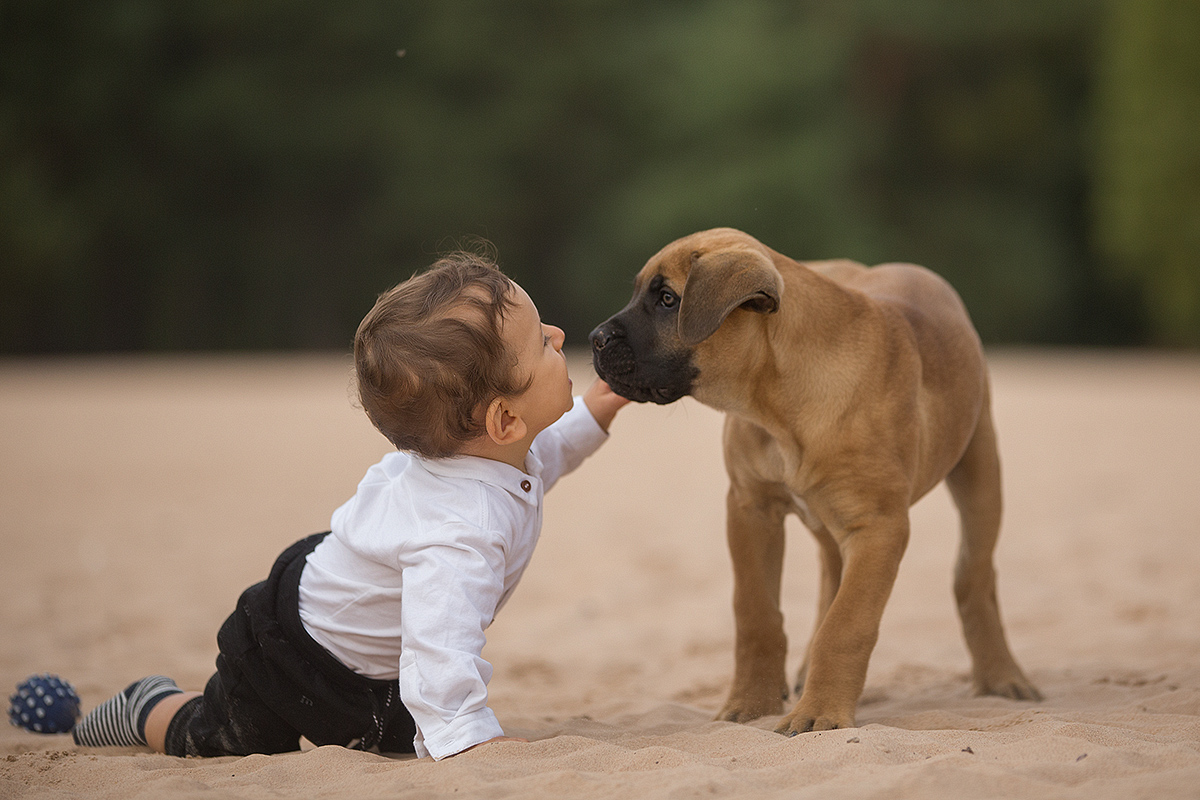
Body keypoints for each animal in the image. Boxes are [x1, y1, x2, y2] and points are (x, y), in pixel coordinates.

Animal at [590, 227, 1041, 734]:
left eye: (668, 299)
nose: (594, 339)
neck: (776, 407)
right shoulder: (750, 508)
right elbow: (756, 613)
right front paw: (751, 704)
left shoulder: (878, 526)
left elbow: (846, 624)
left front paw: (819, 713)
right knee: (831, 575)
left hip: (979, 470)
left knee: (974, 577)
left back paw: (1003, 677)